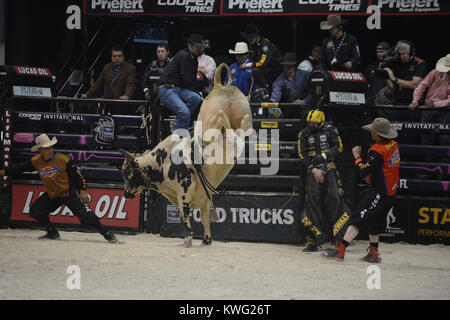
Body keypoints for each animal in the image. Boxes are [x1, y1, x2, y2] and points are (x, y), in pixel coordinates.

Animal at [119, 63, 253, 248]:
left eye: (127, 173)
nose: (125, 194)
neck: (163, 162)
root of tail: (220, 86)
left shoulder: (183, 193)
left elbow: (185, 217)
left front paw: (188, 239)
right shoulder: (205, 199)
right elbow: (205, 218)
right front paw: (206, 240)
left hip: (209, 124)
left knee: (220, 120)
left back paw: (224, 124)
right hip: (242, 116)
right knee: (244, 123)